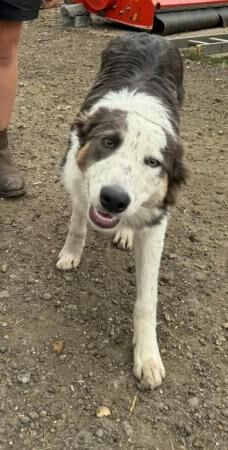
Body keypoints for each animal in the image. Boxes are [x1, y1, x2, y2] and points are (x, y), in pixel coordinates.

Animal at [57, 33, 187, 388]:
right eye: (108, 142)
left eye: (153, 162)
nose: (114, 199)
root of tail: (151, 34)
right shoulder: (79, 183)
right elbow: (77, 226)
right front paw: (71, 254)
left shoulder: (156, 222)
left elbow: (147, 299)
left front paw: (148, 356)